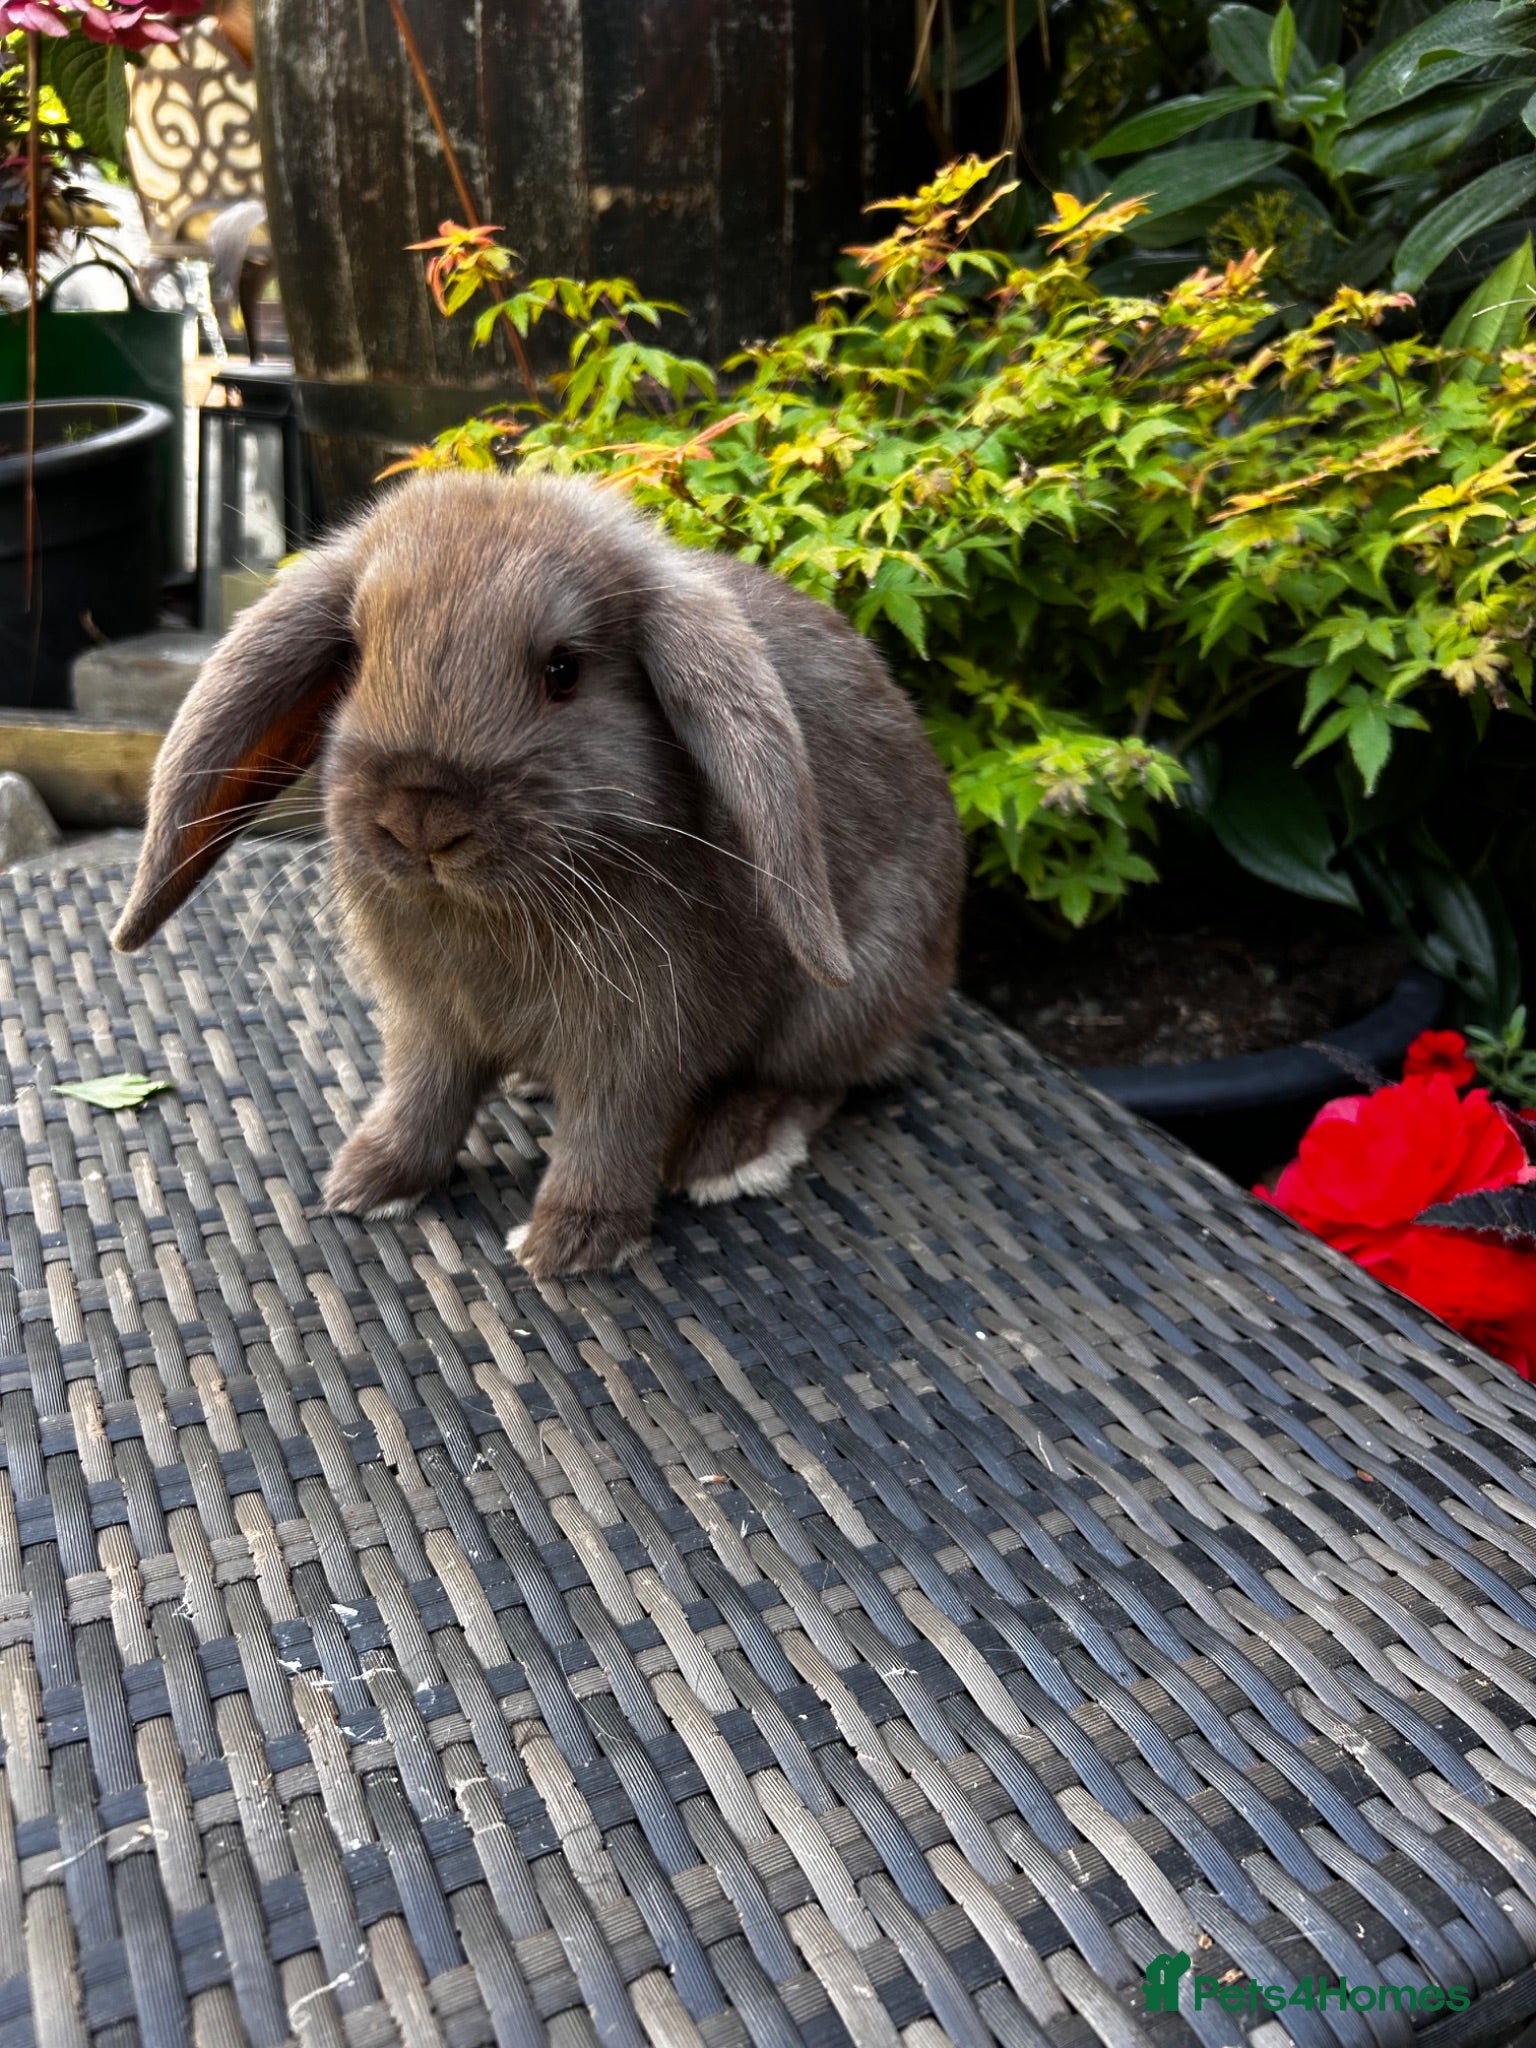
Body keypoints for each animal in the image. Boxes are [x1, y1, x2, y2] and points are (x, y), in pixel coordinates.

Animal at [113, 468, 964, 1277]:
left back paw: (733, 1152)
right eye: (355, 656)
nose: (421, 817)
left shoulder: (641, 1040)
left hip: (839, 998)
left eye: (564, 671)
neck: (489, 909)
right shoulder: (429, 1024)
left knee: (820, 1079)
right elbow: (422, 1096)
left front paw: (571, 1242)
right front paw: (369, 1180)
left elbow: (609, 1133)